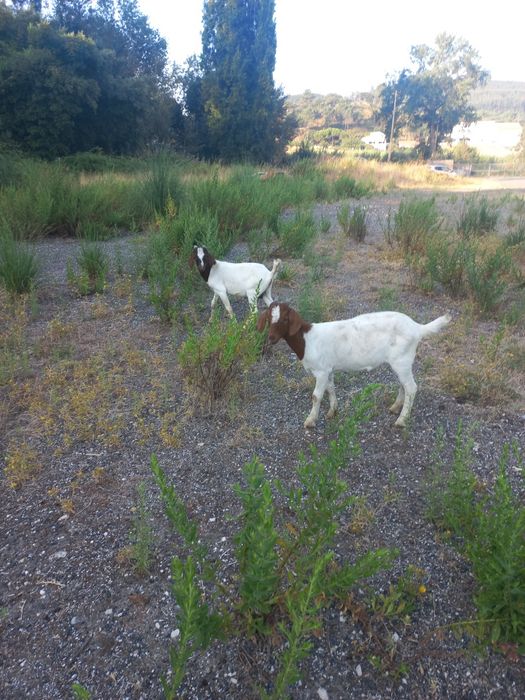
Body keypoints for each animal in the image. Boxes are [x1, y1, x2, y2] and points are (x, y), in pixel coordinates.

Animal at [257, 302, 451, 429]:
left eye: (285, 319)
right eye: (268, 319)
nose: (271, 338)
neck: (307, 340)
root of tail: (417, 328)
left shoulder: (321, 371)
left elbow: (316, 396)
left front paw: (310, 421)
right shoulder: (328, 369)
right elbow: (331, 389)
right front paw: (332, 411)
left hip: (402, 359)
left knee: (411, 387)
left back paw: (401, 420)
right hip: (400, 362)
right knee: (404, 384)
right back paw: (396, 407)